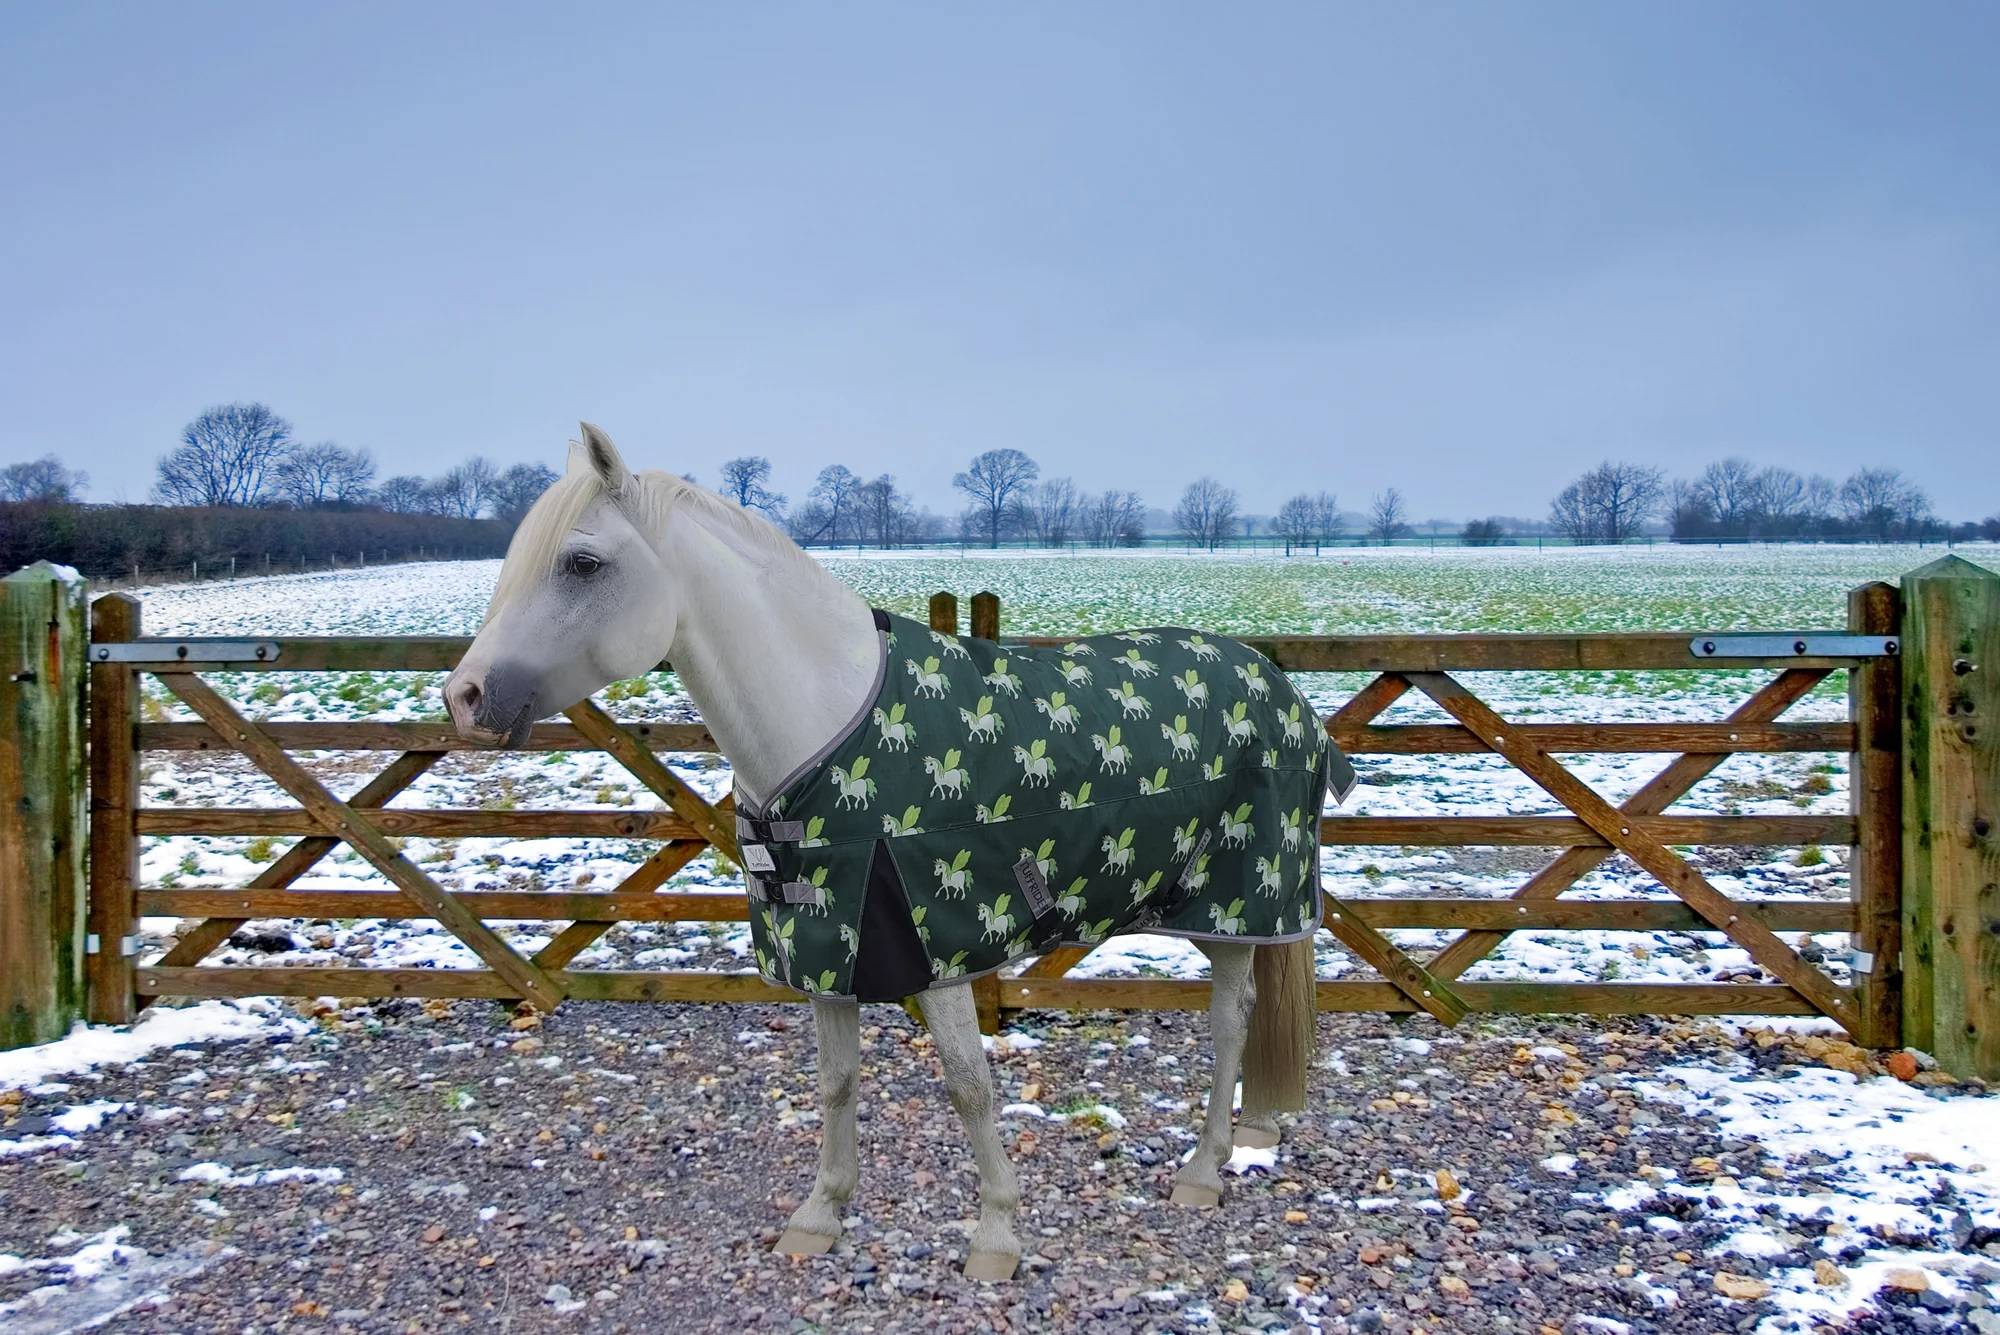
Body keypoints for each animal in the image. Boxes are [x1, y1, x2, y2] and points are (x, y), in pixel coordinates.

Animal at [446, 424, 1338, 1282]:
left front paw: (996, 1235)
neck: (825, 726)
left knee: (1229, 1021)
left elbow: (970, 1085)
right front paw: (820, 1216)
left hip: (1240, 902)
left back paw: (1202, 1170)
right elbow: (837, 1081)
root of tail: (1283, 690)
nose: (466, 697)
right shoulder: (828, 950)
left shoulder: (935, 951)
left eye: (582, 562)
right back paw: (1241, 1144)